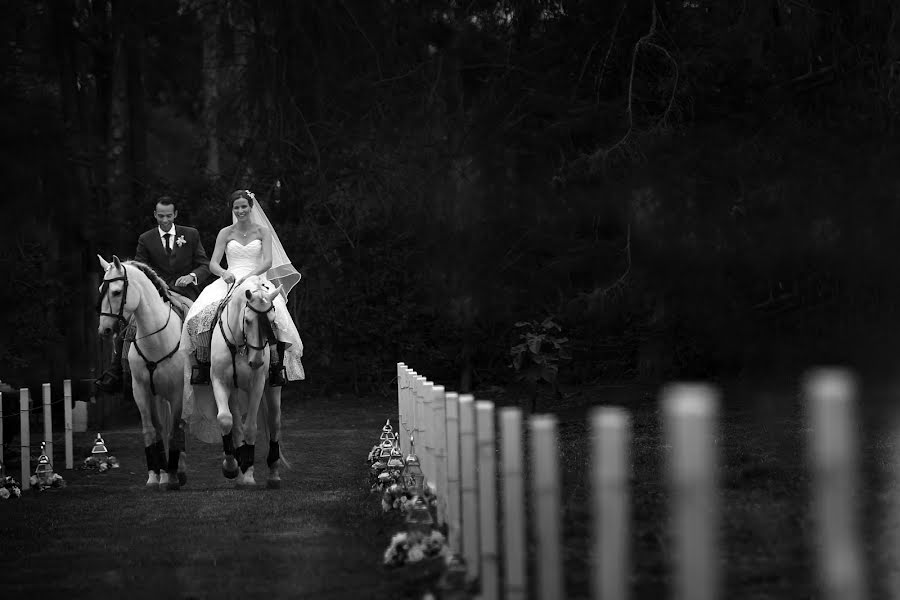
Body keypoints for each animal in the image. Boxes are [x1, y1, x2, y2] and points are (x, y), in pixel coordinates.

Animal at [97, 255, 189, 490]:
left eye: (116, 292)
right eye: (101, 288)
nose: (104, 330)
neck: (156, 338)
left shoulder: (177, 391)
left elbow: (175, 429)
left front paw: (173, 476)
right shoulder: (142, 390)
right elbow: (151, 430)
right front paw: (155, 476)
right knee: (162, 427)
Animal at [209, 276, 286, 488]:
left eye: (272, 321)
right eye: (248, 320)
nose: (257, 361)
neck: (238, 344)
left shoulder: (257, 384)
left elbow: (251, 427)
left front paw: (249, 473)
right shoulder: (219, 381)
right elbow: (225, 420)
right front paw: (231, 468)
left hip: (272, 388)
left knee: (274, 422)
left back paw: (273, 475)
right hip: (234, 391)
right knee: (235, 424)